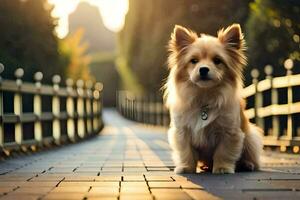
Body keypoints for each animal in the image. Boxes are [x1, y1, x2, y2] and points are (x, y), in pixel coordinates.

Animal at [164, 23, 262, 173]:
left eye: (217, 61)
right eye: (194, 61)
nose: (203, 69)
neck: (205, 96)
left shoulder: (229, 133)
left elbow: (223, 152)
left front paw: (222, 168)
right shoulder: (182, 132)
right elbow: (186, 152)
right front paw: (186, 167)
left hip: (251, 138)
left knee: (251, 158)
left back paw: (247, 164)